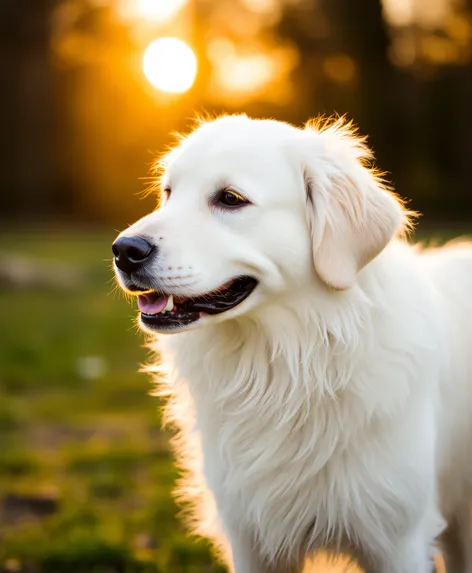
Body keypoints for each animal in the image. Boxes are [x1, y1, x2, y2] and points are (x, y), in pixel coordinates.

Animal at [113, 114, 472, 568]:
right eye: (168, 193)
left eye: (230, 199)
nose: (124, 250)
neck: (288, 367)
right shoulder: (251, 538)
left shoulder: (398, 540)